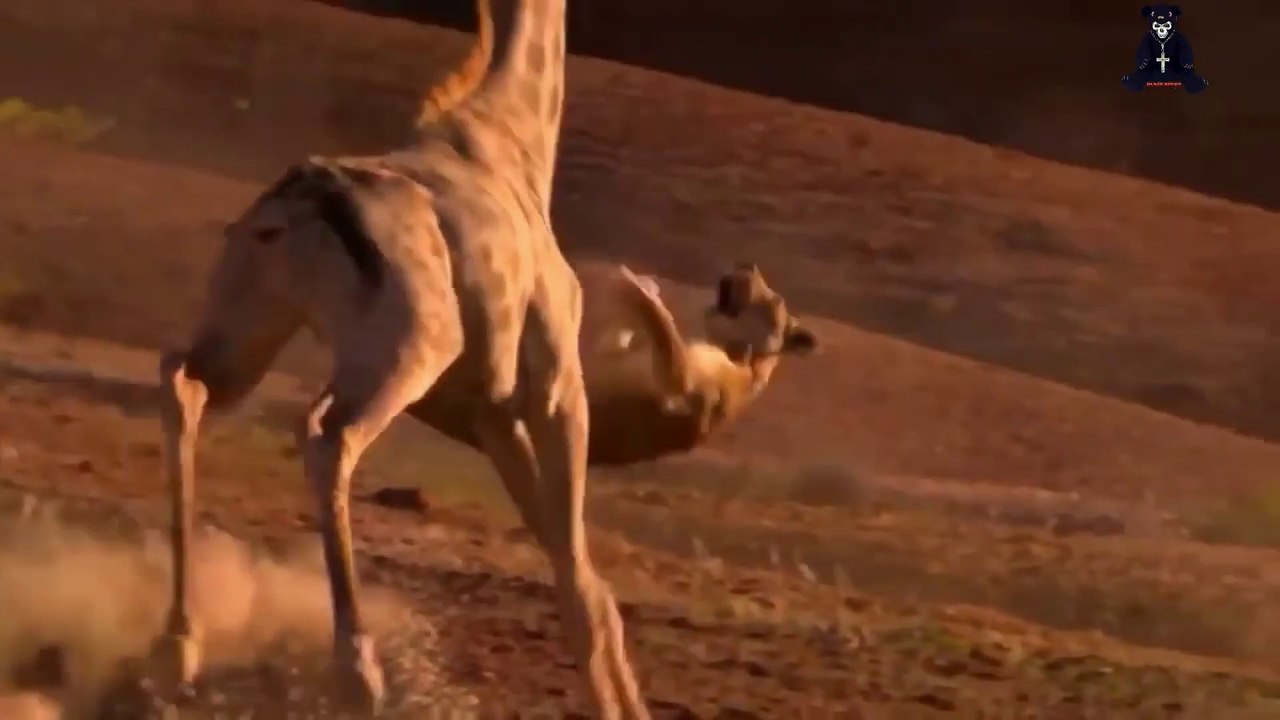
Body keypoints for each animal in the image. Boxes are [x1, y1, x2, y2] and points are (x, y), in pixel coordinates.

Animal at [153, 0, 653, 716]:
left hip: (249, 329)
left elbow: (571, 568)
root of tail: (300, 210)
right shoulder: (557, 388)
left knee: (183, 384)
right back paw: (358, 674)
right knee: (327, 436)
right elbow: (583, 582)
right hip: (408, 348)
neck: (516, 141)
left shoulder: (489, 411)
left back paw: (178, 648)